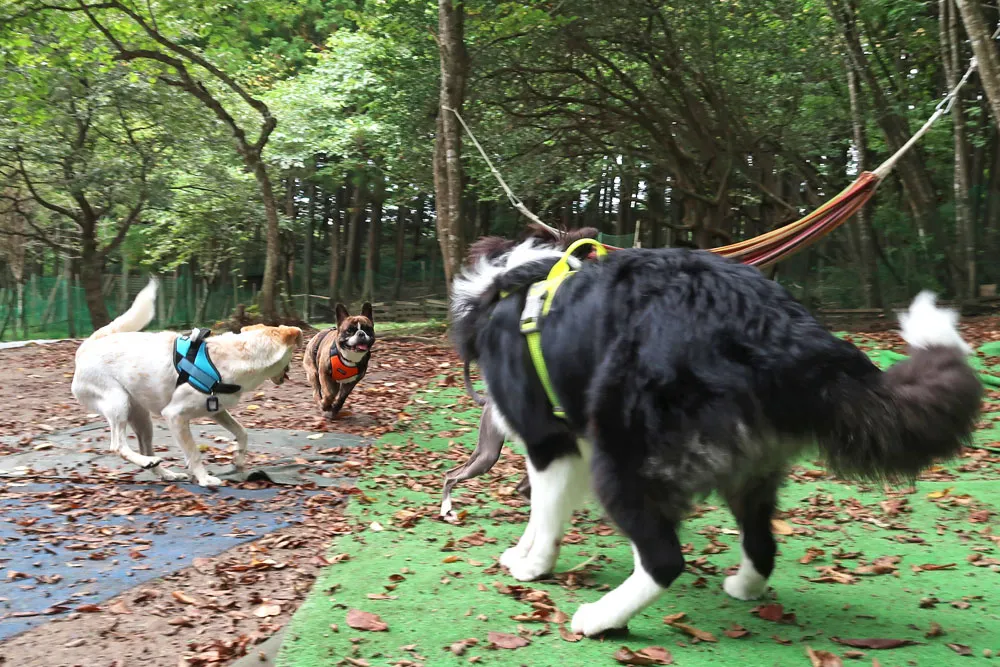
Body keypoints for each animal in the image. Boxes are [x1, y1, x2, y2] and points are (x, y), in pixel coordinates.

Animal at [71, 280, 300, 488]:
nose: (287, 376)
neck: (234, 356)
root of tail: (87, 346)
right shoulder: (175, 416)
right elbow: (194, 452)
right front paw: (205, 479)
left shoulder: (217, 410)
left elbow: (242, 432)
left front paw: (238, 459)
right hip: (118, 403)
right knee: (118, 446)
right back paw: (148, 462)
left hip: (141, 417)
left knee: (145, 449)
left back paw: (163, 471)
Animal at [454, 244, 984, 636]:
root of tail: (780, 328)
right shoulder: (569, 447)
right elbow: (543, 510)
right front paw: (521, 552)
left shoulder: (550, 443)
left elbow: (544, 513)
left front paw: (533, 566)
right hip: (750, 467)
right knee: (761, 543)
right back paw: (745, 588)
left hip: (625, 454)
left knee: (665, 559)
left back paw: (600, 618)